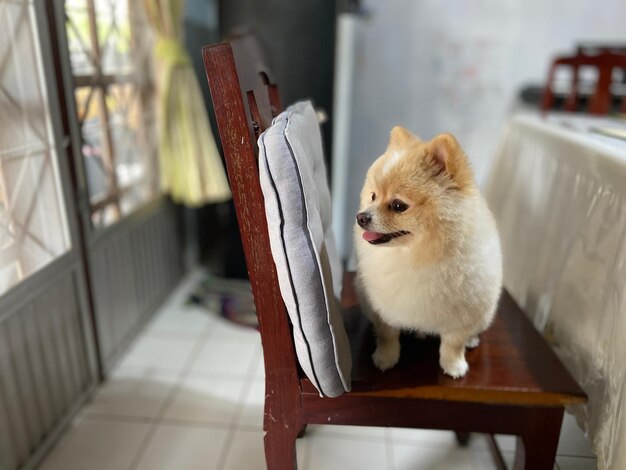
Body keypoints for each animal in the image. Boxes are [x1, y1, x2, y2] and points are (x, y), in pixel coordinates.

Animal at [354, 126, 500, 378]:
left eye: (398, 206)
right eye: (373, 196)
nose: (362, 217)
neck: (416, 257)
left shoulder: (463, 314)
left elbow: (453, 343)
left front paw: (454, 366)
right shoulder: (382, 307)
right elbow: (387, 335)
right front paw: (385, 358)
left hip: (485, 315)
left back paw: (472, 340)